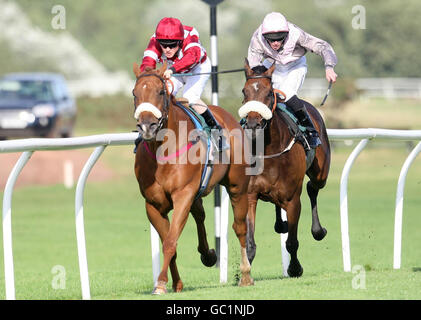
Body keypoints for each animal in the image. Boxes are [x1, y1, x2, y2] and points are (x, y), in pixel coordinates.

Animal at [131, 61, 251, 294]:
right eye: (134, 93)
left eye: (160, 91)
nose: (147, 126)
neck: (163, 148)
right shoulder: (153, 204)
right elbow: (169, 242)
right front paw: (175, 283)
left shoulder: (183, 195)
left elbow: (170, 242)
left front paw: (160, 283)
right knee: (200, 214)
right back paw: (208, 254)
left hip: (237, 187)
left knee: (240, 228)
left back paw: (246, 275)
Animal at [240, 59, 332, 278]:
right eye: (244, 92)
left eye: (268, 93)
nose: (253, 124)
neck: (269, 150)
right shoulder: (250, 195)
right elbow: (250, 242)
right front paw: (244, 273)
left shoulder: (292, 200)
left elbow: (291, 242)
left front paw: (295, 268)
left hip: (321, 173)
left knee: (312, 188)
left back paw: (318, 231)